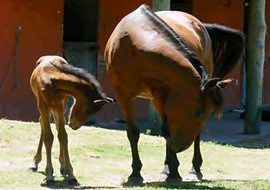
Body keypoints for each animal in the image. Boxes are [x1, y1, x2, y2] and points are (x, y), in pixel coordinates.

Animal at [29, 55, 114, 186]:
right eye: (89, 111)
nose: (74, 125)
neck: (51, 80)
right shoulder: (43, 106)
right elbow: (48, 136)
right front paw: (49, 175)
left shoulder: (59, 106)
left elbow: (62, 136)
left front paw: (70, 174)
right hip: (43, 106)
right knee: (42, 122)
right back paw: (35, 163)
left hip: (60, 106)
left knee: (56, 126)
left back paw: (62, 166)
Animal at [104, 3, 244, 183]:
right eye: (197, 112)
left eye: (205, 113)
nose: (181, 147)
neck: (135, 43)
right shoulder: (124, 95)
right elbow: (134, 133)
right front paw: (135, 174)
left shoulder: (163, 96)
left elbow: (167, 133)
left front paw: (174, 172)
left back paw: (194, 169)